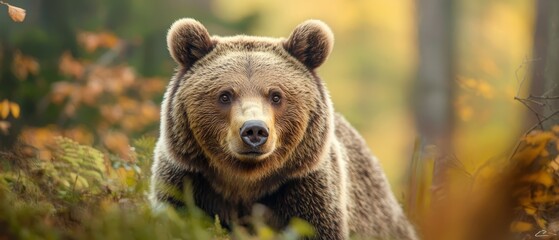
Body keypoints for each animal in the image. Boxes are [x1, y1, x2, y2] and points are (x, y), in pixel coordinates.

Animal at [150, 17, 420, 240]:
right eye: (225, 95)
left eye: (276, 96)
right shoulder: (187, 183)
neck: (245, 181)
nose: (254, 131)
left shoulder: (305, 190)